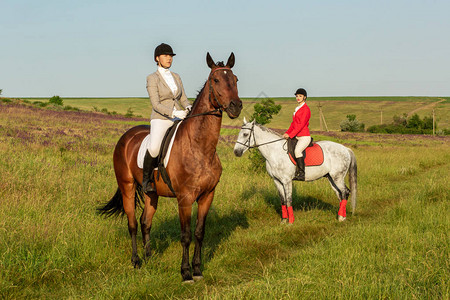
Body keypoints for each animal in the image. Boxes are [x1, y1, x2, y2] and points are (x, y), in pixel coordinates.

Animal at [99, 52, 243, 282]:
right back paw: (136, 261)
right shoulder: (184, 199)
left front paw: (197, 270)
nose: (235, 106)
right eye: (216, 80)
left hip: (151, 193)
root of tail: (126, 136)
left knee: (145, 222)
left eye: (235, 79)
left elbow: (199, 233)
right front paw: (185, 273)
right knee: (132, 224)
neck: (200, 147)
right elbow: (185, 236)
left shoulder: (207, 195)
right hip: (127, 186)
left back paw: (149, 258)